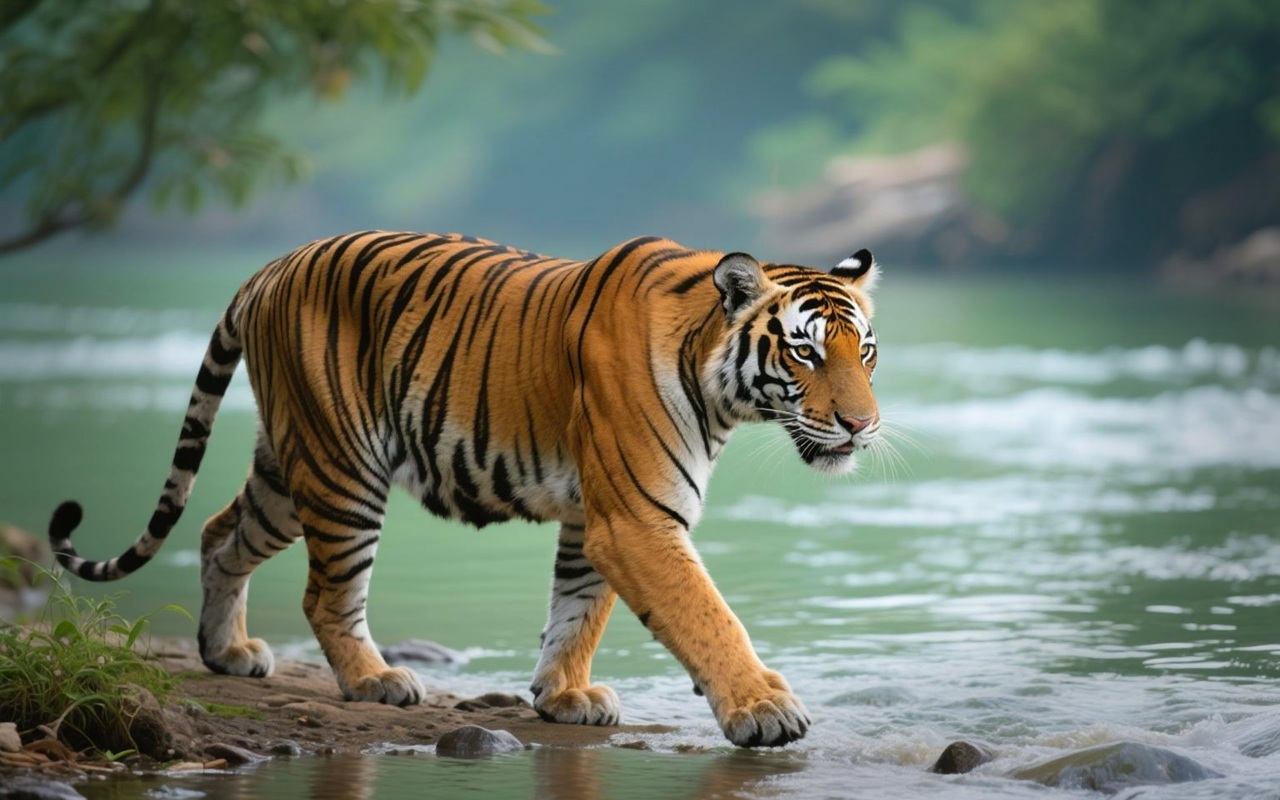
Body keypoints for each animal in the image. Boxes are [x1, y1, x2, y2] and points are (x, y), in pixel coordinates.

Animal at [47, 232, 882, 748]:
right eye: (805, 354)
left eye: (865, 351)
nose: (863, 425)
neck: (717, 384)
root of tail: (271, 267)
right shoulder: (637, 516)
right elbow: (708, 618)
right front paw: (765, 711)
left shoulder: (598, 514)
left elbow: (578, 610)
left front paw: (564, 696)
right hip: (343, 467)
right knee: (327, 594)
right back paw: (375, 680)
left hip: (289, 467)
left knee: (221, 533)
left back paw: (226, 653)